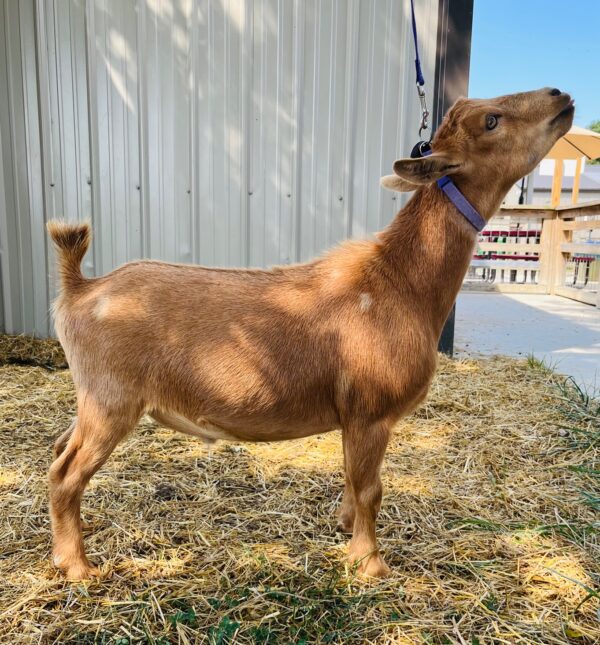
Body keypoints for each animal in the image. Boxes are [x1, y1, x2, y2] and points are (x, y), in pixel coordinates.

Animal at [47, 87, 572, 580]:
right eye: (492, 120)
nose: (561, 96)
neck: (399, 282)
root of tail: (81, 288)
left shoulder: (353, 417)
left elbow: (353, 480)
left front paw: (345, 528)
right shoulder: (372, 411)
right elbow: (371, 488)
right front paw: (370, 565)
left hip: (91, 398)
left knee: (58, 451)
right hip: (112, 399)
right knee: (66, 473)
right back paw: (76, 567)